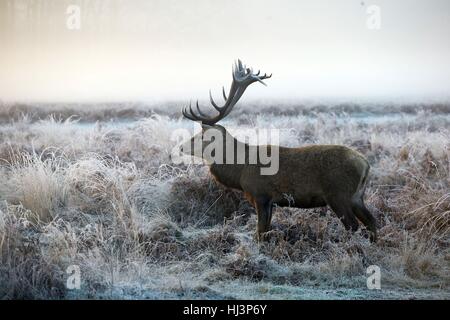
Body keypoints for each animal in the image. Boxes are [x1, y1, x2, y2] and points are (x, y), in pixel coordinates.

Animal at [179, 60, 376, 241]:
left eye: (201, 136)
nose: (181, 146)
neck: (240, 171)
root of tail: (365, 164)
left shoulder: (261, 195)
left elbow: (260, 232)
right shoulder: (270, 202)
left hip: (338, 195)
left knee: (353, 226)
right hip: (357, 197)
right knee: (372, 221)